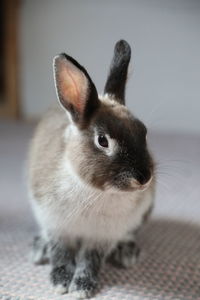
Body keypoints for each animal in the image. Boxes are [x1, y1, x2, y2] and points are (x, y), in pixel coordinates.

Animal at [28, 39, 155, 298]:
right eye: (103, 141)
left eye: (143, 132)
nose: (144, 178)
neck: (93, 191)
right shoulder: (56, 225)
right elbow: (61, 254)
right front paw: (60, 282)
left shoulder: (102, 236)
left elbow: (90, 260)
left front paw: (82, 286)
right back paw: (39, 249)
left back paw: (127, 253)